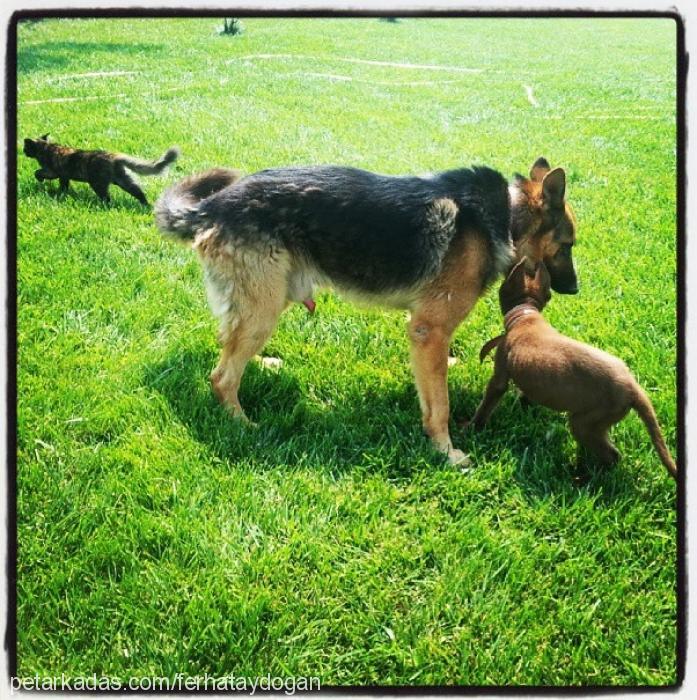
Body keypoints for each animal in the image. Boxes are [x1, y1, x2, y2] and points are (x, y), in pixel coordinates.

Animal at [23, 134, 179, 205]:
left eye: (26, 148)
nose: (23, 152)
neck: (46, 147)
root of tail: (114, 156)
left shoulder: (52, 172)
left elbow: (37, 172)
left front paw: (41, 180)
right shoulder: (64, 176)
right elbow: (64, 185)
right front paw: (61, 193)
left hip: (98, 184)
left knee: (107, 198)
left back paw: (104, 205)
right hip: (123, 180)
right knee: (138, 191)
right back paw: (145, 204)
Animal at [156, 158, 576, 464]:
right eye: (569, 244)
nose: (574, 289)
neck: (507, 215)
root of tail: (212, 206)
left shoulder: (424, 336)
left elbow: (432, 384)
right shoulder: (429, 330)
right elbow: (439, 405)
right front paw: (445, 451)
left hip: (270, 300)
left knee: (231, 344)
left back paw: (262, 364)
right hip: (264, 306)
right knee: (221, 376)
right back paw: (243, 424)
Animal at [468, 258, 676, 482]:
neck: (525, 316)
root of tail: (633, 387)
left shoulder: (500, 374)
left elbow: (487, 403)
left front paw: (472, 427)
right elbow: (527, 394)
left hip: (584, 422)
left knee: (611, 456)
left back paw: (585, 480)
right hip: (596, 425)